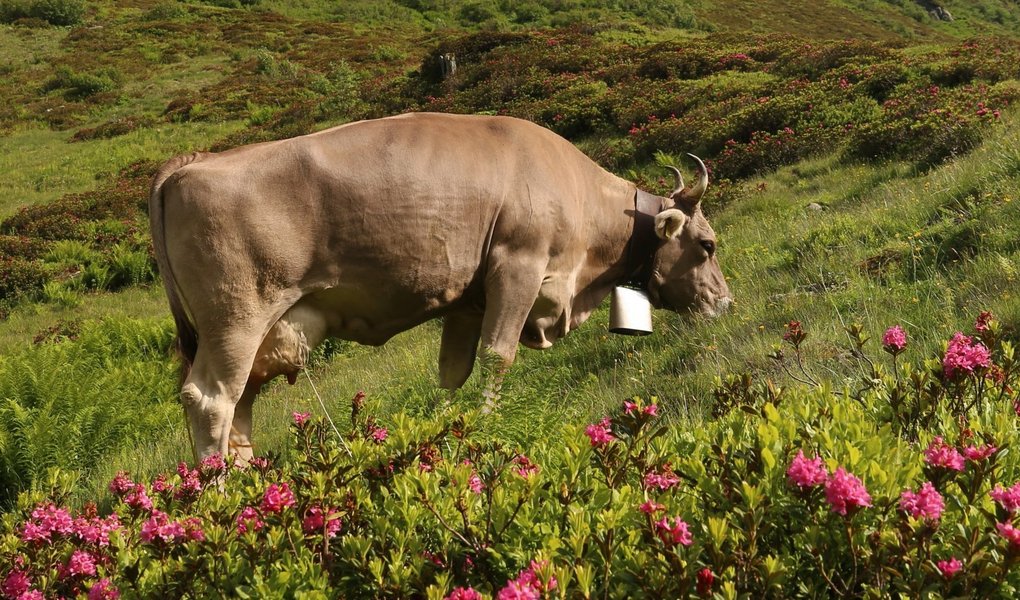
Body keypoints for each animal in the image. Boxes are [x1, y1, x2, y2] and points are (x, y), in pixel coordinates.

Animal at [149, 112, 732, 462]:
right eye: (707, 244)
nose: (725, 302)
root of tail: (191, 163)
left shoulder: (468, 299)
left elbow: (455, 373)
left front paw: (447, 430)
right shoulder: (516, 268)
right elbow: (497, 357)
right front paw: (486, 428)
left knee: (240, 405)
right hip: (236, 318)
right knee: (212, 399)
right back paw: (223, 491)